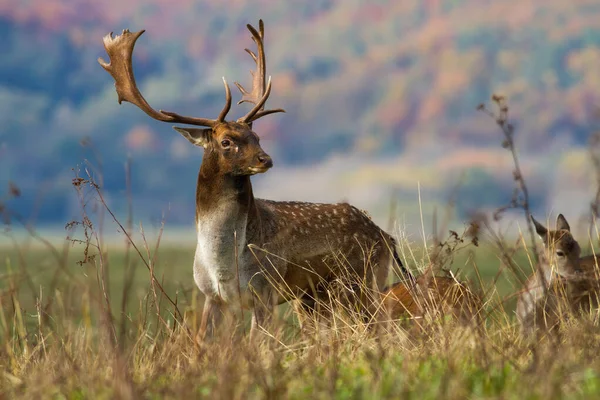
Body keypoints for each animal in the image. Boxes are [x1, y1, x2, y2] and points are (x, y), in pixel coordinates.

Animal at [98, 20, 418, 340]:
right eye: (226, 141)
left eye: (257, 136)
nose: (266, 159)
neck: (224, 264)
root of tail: (386, 237)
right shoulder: (212, 296)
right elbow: (203, 342)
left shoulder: (265, 289)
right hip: (315, 296)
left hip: (363, 281)